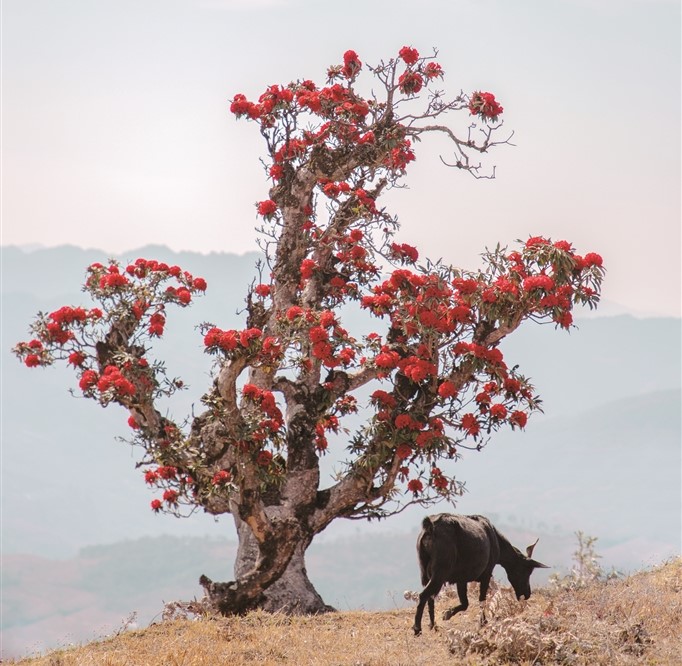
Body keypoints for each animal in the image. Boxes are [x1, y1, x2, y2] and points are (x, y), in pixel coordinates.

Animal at [410, 512, 548, 632]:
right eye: (526, 571)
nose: (527, 594)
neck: (495, 539)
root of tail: (430, 527)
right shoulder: (486, 573)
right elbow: (481, 599)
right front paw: (482, 622)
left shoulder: (461, 578)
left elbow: (465, 603)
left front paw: (447, 614)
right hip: (440, 572)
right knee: (423, 595)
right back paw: (417, 629)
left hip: (424, 571)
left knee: (430, 597)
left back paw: (433, 625)